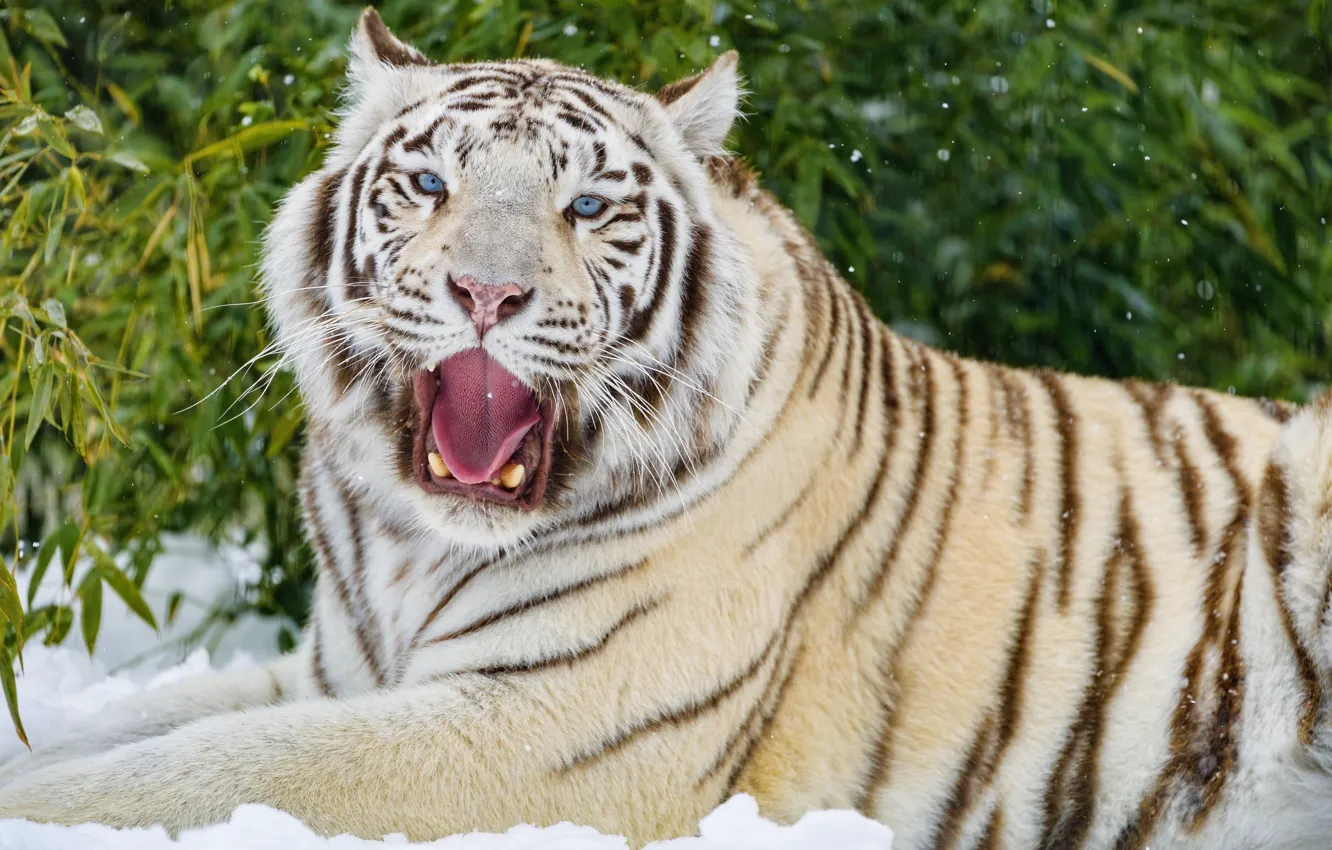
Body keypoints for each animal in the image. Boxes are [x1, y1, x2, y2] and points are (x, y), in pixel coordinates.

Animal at [2, 7, 1331, 849]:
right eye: (431, 185)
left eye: (587, 206)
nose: (487, 293)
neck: (406, 542)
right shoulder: (338, 666)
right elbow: (132, 727)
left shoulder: (555, 728)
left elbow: (204, 769)